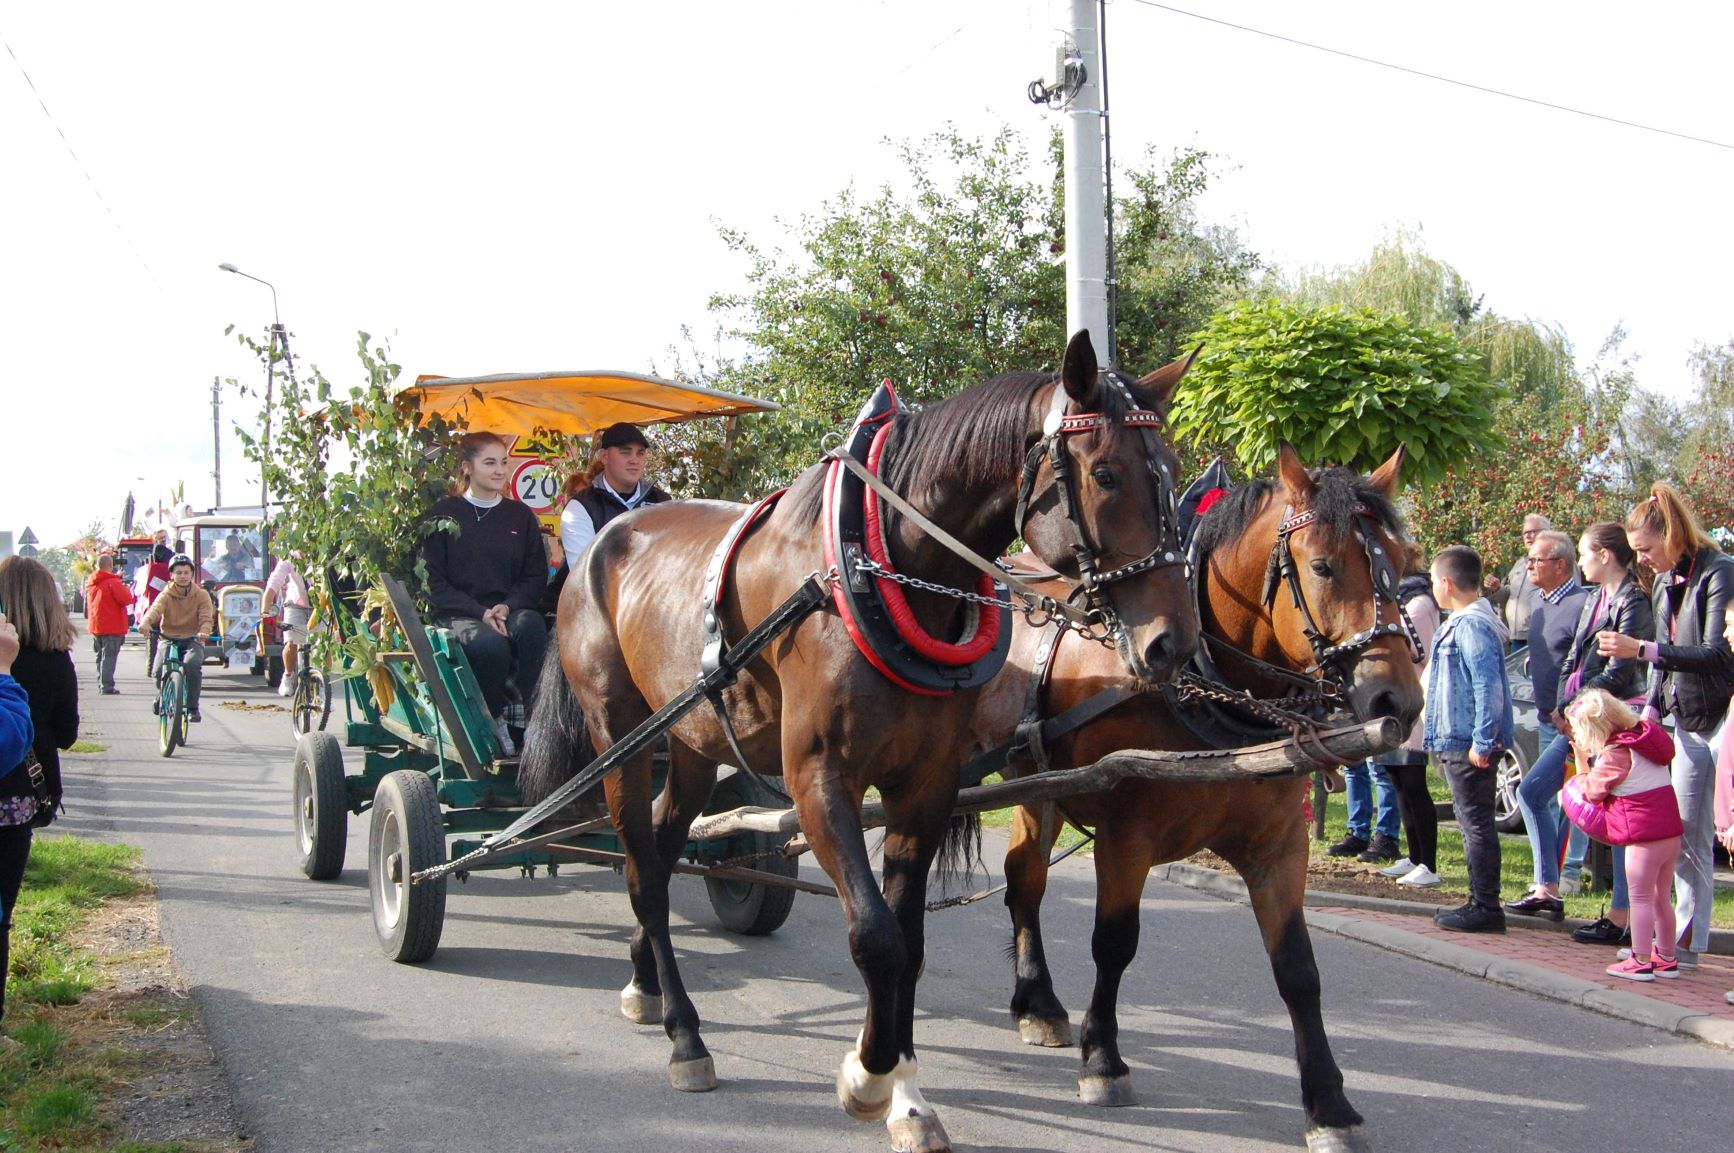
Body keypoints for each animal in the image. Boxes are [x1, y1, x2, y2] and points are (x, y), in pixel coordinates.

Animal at [530, 332, 1206, 1151]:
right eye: (1106, 472)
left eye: (1173, 470)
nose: (1173, 643)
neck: (881, 568)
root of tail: (604, 539)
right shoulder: (821, 782)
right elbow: (876, 936)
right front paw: (867, 1076)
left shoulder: (925, 784)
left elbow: (908, 942)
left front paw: (907, 1093)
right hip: (621, 739)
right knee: (640, 872)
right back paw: (686, 1036)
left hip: (689, 740)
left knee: (658, 855)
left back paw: (645, 982)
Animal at [971, 442, 1414, 1151]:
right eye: (1322, 565)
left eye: (1403, 565)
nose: (1398, 699)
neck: (1207, 688)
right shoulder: (1125, 837)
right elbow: (1114, 943)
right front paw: (1104, 1060)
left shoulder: (1280, 849)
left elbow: (1299, 971)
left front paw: (1330, 1105)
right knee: (1022, 882)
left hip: (1037, 785)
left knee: (1023, 882)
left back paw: (1036, 1003)